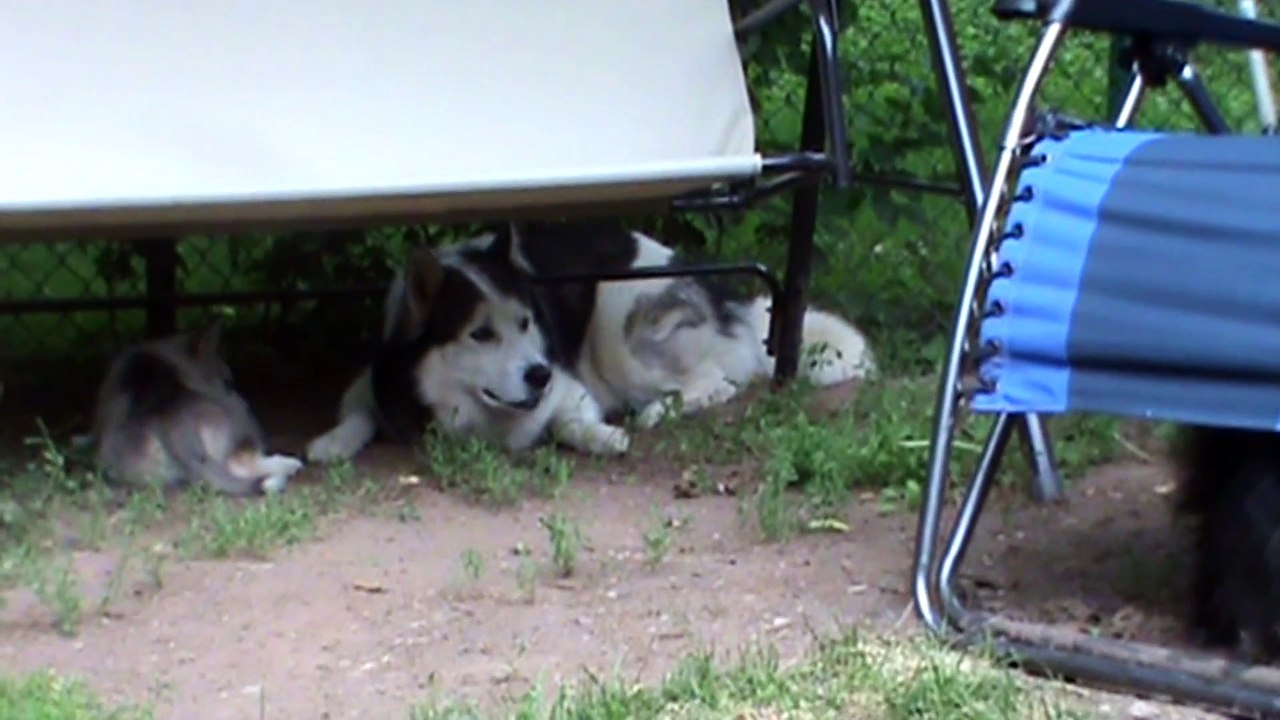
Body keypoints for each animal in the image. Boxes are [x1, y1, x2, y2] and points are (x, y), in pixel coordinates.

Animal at [305, 221, 875, 463]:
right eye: (481, 334)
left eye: (527, 322)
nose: (538, 373)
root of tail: (733, 303)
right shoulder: (373, 380)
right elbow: (357, 412)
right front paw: (332, 442)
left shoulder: (566, 386)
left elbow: (565, 422)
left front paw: (600, 436)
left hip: (619, 322)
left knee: (718, 380)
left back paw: (657, 412)